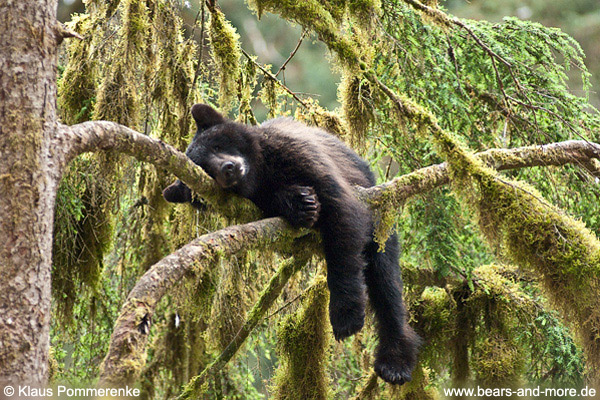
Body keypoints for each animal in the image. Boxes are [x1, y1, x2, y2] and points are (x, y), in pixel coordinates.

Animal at [162, 104, 420, 384]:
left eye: (217, 145)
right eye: (206, 171)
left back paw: (394, 361)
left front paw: (345, 315)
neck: (260, 173)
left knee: (386, 280)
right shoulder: (256, 201)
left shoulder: (295, 153)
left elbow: (342, 213)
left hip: (381, 216)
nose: (229, 168)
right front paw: (299, 203)